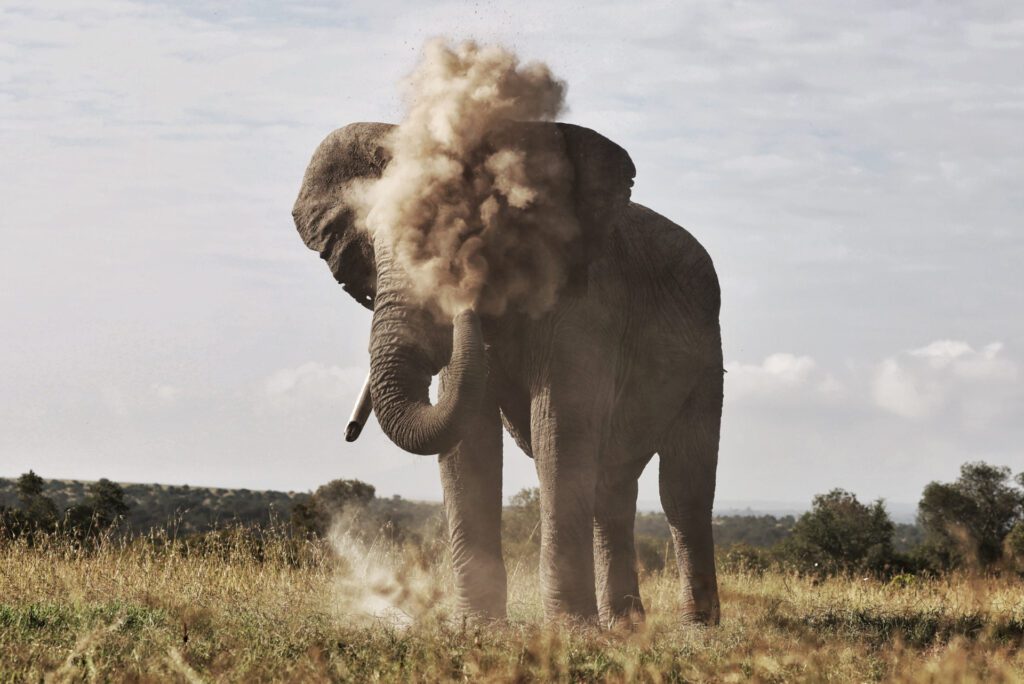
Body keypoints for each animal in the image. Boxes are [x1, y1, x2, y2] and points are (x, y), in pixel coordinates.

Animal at [292, 121, 724, 625]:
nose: (348, 432)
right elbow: (470, 439)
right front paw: (477, 628)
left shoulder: (586, 301)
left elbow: (558, 424)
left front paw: (570, 632)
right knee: (612, 487)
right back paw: (625, 628)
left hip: (707, 352)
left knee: (681, 487)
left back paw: (695, 629)